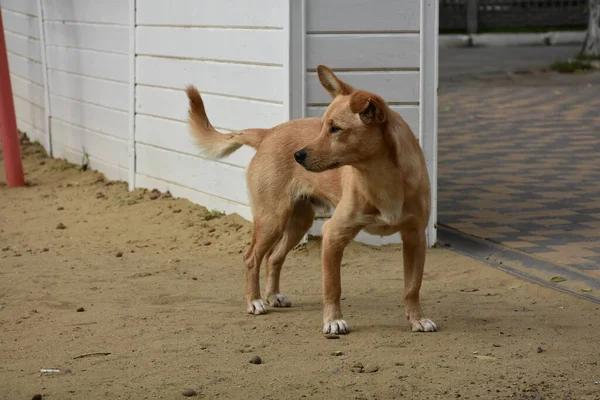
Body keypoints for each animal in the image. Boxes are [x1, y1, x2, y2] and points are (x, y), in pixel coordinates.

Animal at [184, 65, 436, 334]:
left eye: (335, 129)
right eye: (323, 126)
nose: (298, 155)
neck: (381, 179)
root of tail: (268, 133)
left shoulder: (415, 237)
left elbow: (412, 287)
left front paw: (417, 319)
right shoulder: (333, 234)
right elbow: (332, 286)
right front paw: (333, 321)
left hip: (298, 222)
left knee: (273, 257)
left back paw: (273, 295)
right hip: (272, 220)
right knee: (251, 257)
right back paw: (254, 301)